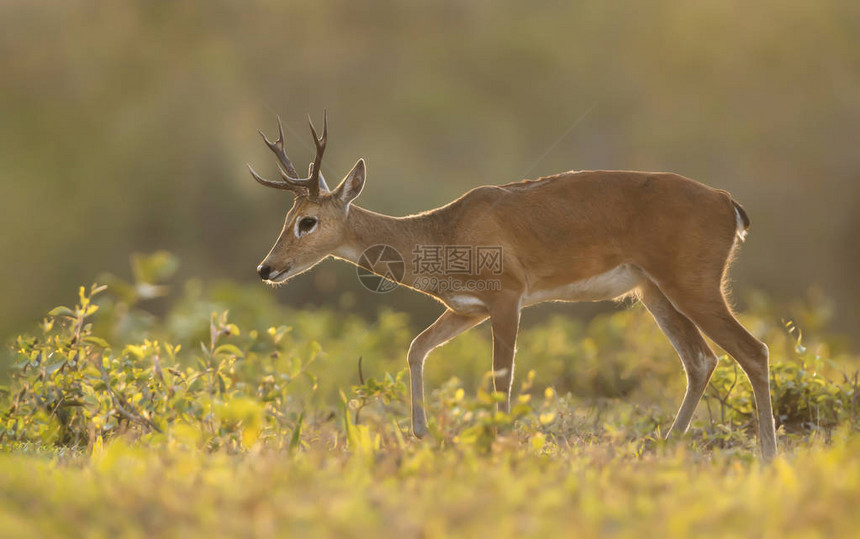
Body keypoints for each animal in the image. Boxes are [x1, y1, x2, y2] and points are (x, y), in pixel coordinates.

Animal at [249, 113, 780, 460]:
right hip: (654, 293)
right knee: (701, 360)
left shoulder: (507, 297)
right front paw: (421, 433)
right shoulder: (468, 308)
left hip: (693, 285)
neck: (441, 234)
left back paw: (769, 456)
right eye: (288, 216)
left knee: (752, 350)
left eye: (308, 221)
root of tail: (728, 203)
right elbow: (417, 348)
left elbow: (500, 376)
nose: (266, 268)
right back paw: (667, 445)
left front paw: (497, 441)